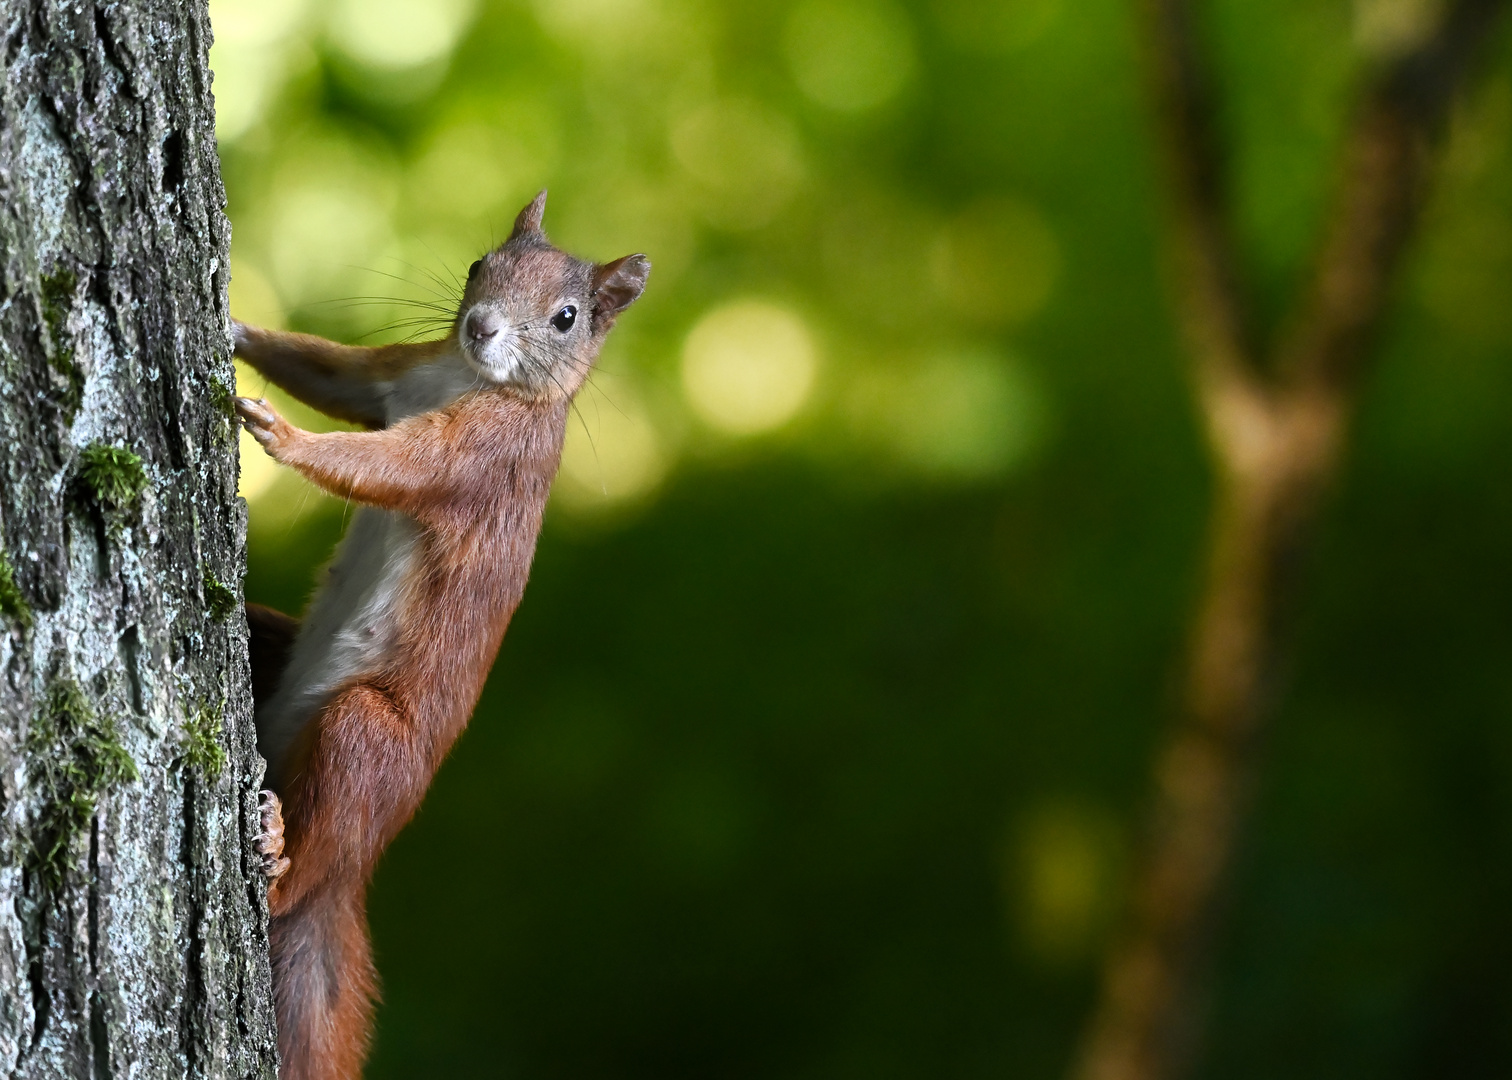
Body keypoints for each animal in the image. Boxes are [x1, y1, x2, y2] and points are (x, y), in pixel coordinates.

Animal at [232, 189, 647, 1070]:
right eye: (478, 265)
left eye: (566, 318)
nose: (480, 326)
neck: (466, 376)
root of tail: (352, 881)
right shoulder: (395, 375)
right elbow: (329, 369)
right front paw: (235, 327)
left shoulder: (477, 459)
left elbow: (382, 465)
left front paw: (283, 435)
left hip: (366, 741)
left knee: (315, 854)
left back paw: (281, 858)